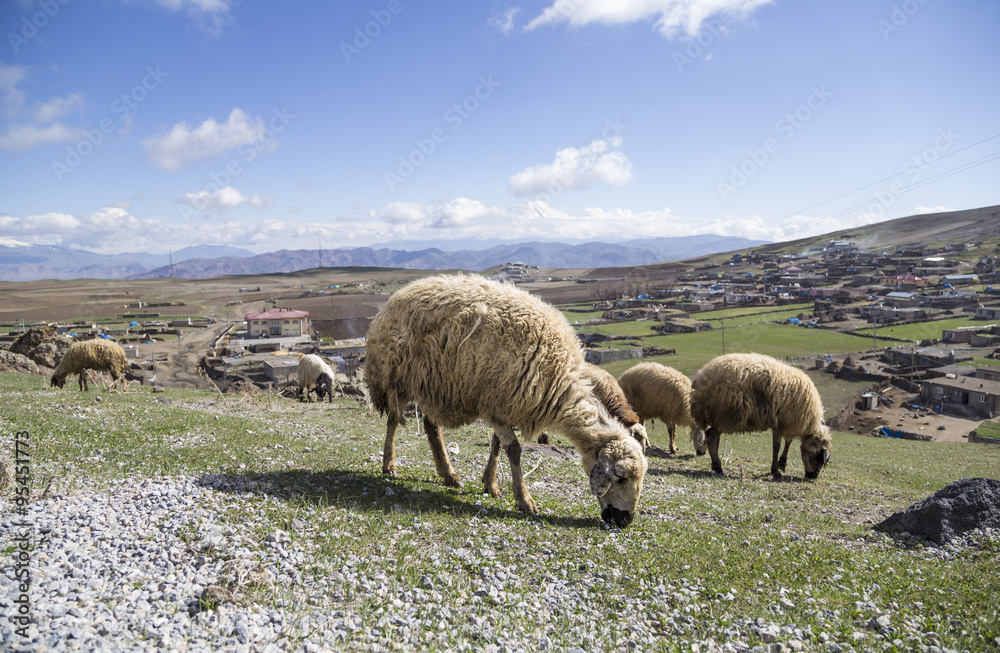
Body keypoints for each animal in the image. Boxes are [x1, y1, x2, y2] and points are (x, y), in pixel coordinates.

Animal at [365, 274, 648, 529]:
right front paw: (524, 500)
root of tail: (399, 294)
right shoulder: (497, 405)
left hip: (436, 385)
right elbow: (513, 450)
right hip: (397, 376)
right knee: (393, 420)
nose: (626, 521)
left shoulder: (503, 406)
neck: (558, 384)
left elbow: (496, 445)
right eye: (621, 477)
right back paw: (389, 466)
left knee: (431, 427)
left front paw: (490, 484)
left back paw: (449, 475)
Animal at [689, 352, 832, 480]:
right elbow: (776, 447)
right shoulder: (782, 423)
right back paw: (719, 468)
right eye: (817, 456)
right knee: (711, 436)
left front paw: (782, 463)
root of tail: (701, 380)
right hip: (727, 415)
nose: (813, 476)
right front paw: (776, 471)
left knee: (713, 437)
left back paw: (715, 464)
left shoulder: (786, 422)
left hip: (719, 416)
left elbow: (787, 442)